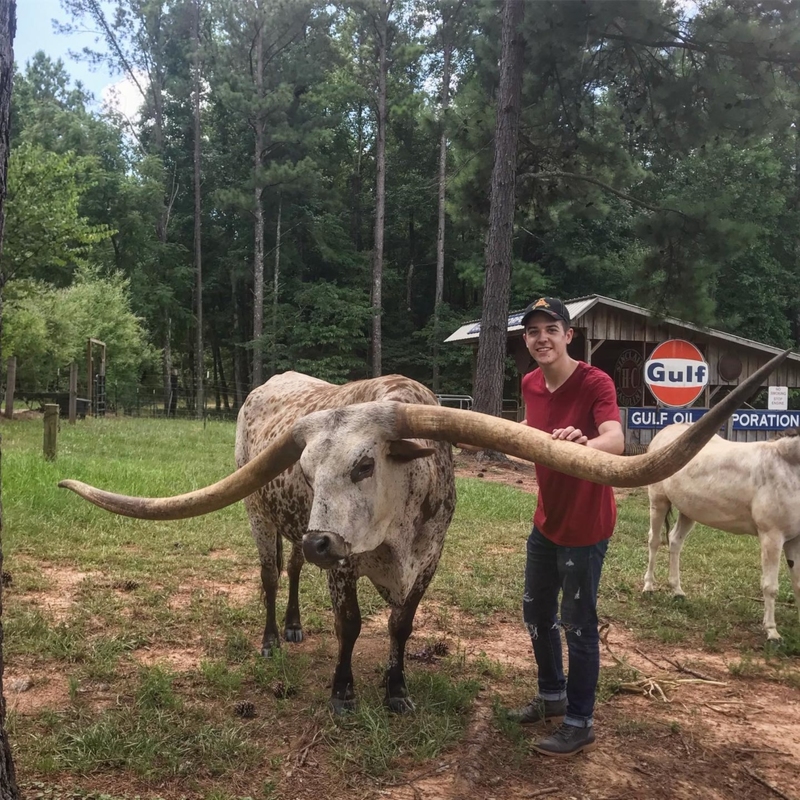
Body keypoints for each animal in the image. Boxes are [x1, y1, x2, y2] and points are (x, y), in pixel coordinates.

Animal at [644, 422, 800, 640]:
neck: (786, 466)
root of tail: (667, 430)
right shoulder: (772, 536)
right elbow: (770, 587)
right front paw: (772, 632)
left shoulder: (795, 539)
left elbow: (798, 584)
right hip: (658, 501)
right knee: (655, 540)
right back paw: (648, 587)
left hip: (689, 510)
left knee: (675, 541)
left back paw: (677, 591)